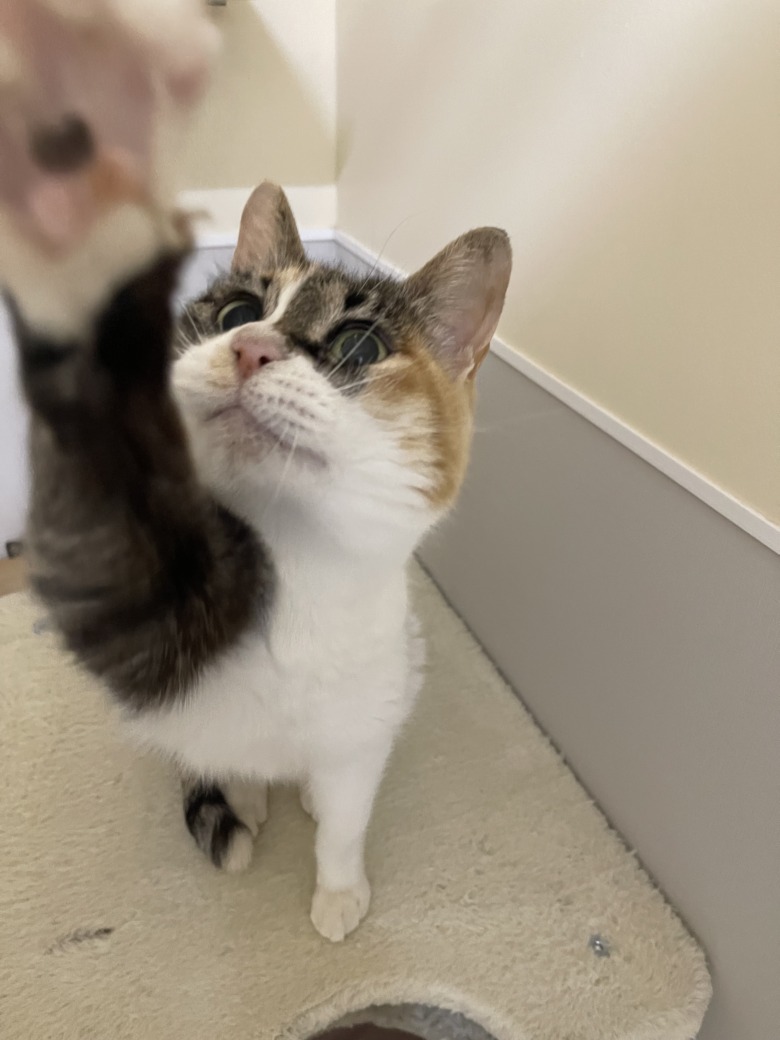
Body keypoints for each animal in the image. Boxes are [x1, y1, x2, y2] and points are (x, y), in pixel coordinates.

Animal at [0, 0, 511, 942]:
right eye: (239, 308)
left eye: (358, 347)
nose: (250, 349)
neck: (285, 574)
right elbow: (228, 760)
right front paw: (244, 799)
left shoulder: (358, 728)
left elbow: (345, 816)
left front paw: (338, 893)